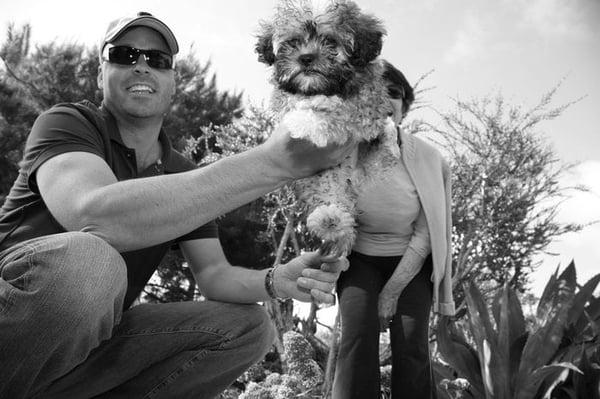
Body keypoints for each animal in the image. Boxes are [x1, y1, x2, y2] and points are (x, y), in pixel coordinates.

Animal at [254, 0, 398, 256]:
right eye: (293, 42)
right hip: (323, 180)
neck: (322, 88)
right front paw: (303, 115)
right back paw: (329, 218)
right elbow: (293, 103)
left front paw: (310, 118)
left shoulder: (366, 106)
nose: (306, 57)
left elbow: (344, 113)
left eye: (330, 41)